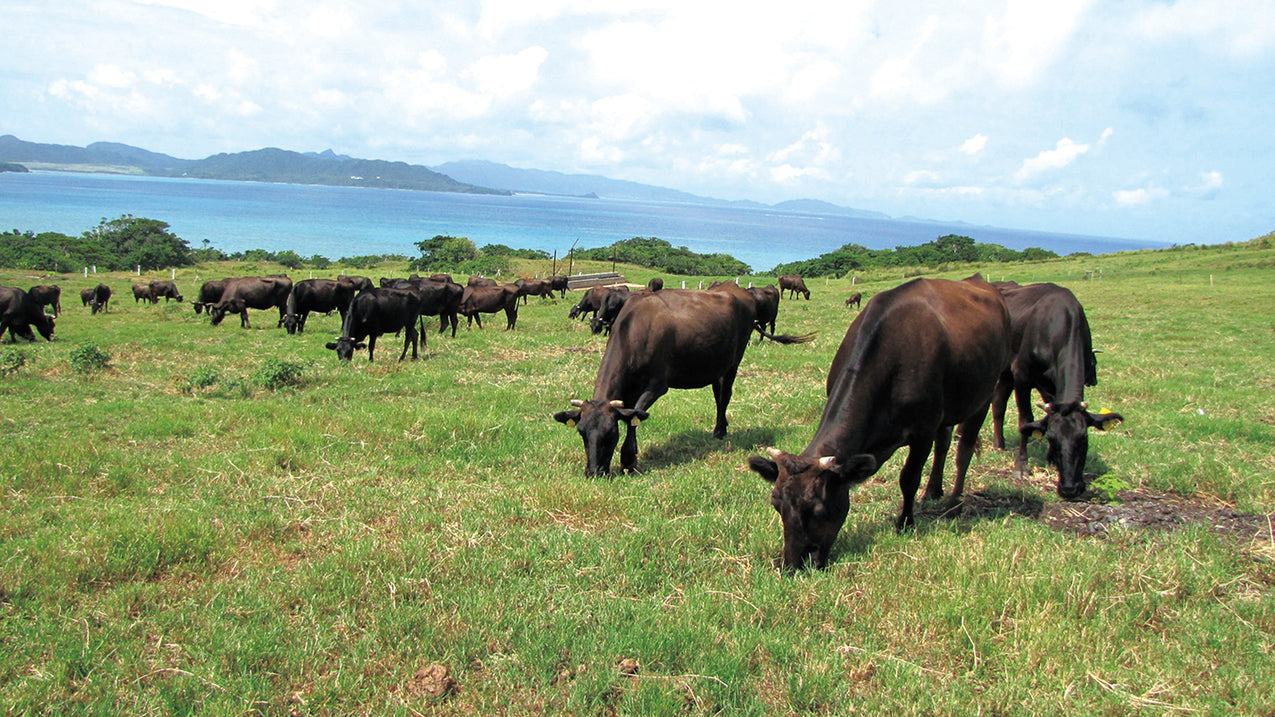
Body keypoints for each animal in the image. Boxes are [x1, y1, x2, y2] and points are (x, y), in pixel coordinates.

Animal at [550, 284, 810, 474]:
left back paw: (720, 431)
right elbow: (631, 415)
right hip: (715, 365)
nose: (593, 472)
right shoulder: (629, 389)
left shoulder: (657, 385)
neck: (636, 330)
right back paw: (720, 427)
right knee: (718, 395)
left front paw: (628, 459)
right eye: (582, 432)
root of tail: (737, 289)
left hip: (734, 361)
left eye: (610, 433)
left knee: (726, 395)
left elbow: (635, 416)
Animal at [744, 274, 1009, 569]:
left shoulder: (923, 431)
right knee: (944, 444)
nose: (792, 565)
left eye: (818, 509)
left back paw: (953, 499)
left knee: (964, 448)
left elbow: (909, 478)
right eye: (776, 504)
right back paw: (933, 490)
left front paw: (905, 523)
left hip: (984, 394)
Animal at [989, 279, 1122, 497]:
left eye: (1083, 439)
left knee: (998, 404)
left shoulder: (1050, 386)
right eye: (1052, 438)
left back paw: (1000, 444)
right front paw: (1021, 466)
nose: (1070, 488)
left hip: (1007, 374)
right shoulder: (1022, 375)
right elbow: (1026, 420)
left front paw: (1050, 459)